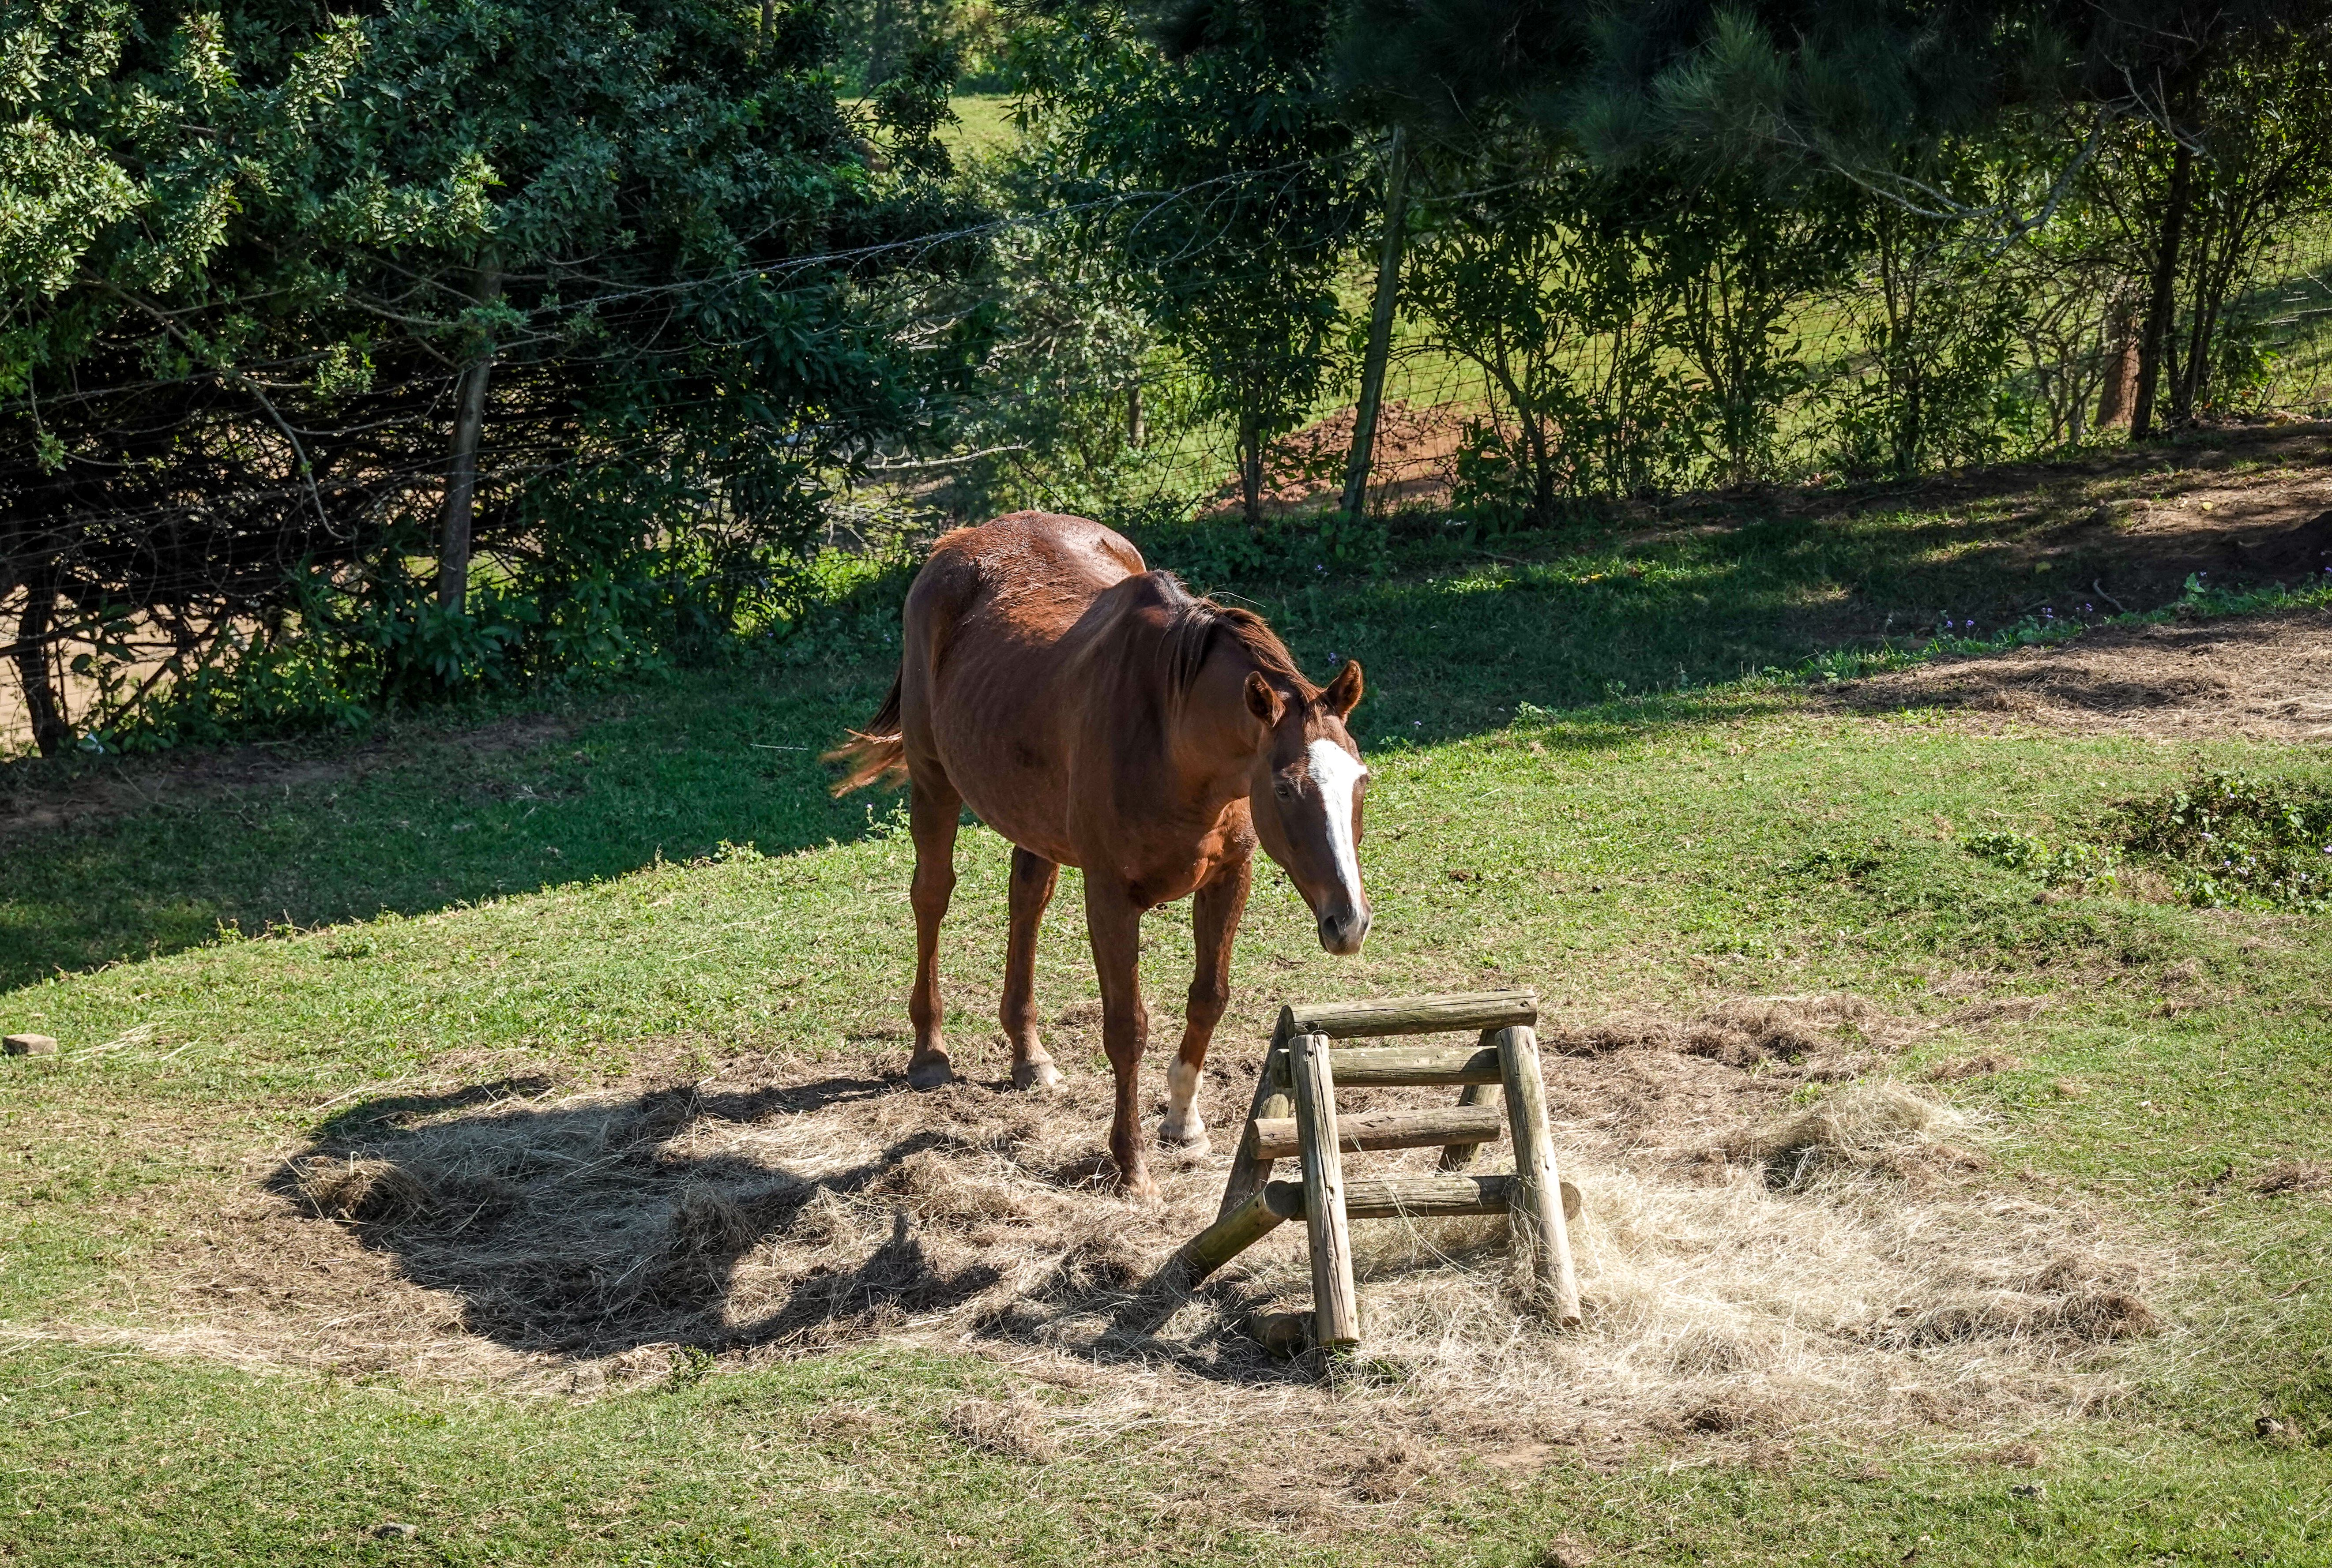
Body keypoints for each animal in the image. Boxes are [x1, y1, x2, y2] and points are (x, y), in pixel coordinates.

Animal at [828, 511, 1371, 1197]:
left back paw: (1029, 1055)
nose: (1348, 922)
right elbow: (1125, 1027)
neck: (1174, 737)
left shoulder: (1229, 877)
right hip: (933, 782)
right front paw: (1131, 1163)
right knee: (931, 896)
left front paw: (1183, 1122)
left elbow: (1208, 997)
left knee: (1026, 900)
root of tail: (958, 542)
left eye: (1362, 780)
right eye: (1283, 787)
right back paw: (929, 1050)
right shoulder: (1111, 895)